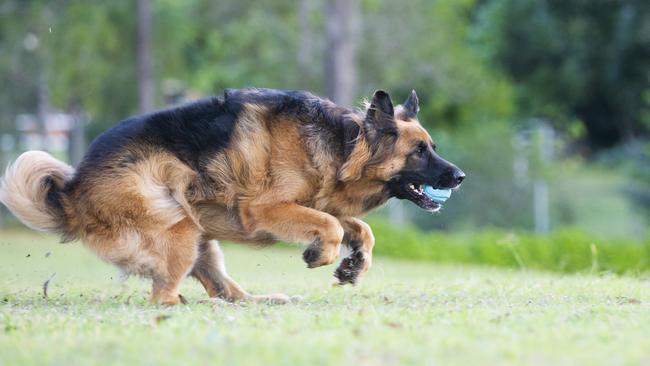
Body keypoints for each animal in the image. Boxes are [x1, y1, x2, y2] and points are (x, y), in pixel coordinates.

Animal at [1, 89, 466, 306]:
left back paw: (262, 301)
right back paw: (189, 306)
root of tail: (73, 192)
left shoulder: (319, 202)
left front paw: (353, 266)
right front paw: (322, 255)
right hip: (180, 227)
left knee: (225, 292)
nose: (460, 176)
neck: (342, 143)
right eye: (419, 151)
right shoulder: (266, 209)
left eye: (432, 146)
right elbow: (333, 225)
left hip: (202, 240)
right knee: (164, 296)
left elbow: (359, 228)